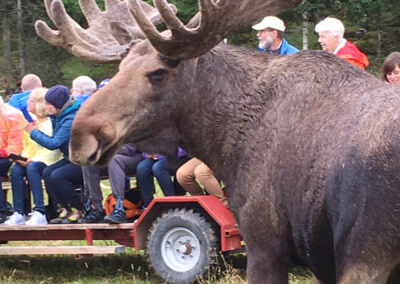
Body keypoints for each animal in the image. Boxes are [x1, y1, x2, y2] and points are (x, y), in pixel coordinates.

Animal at [35, 0, 400, 282]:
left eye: (158, 72)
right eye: (122, 66)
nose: (81, 136)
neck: (225, 143)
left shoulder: (265, 241)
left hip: (366, 251)